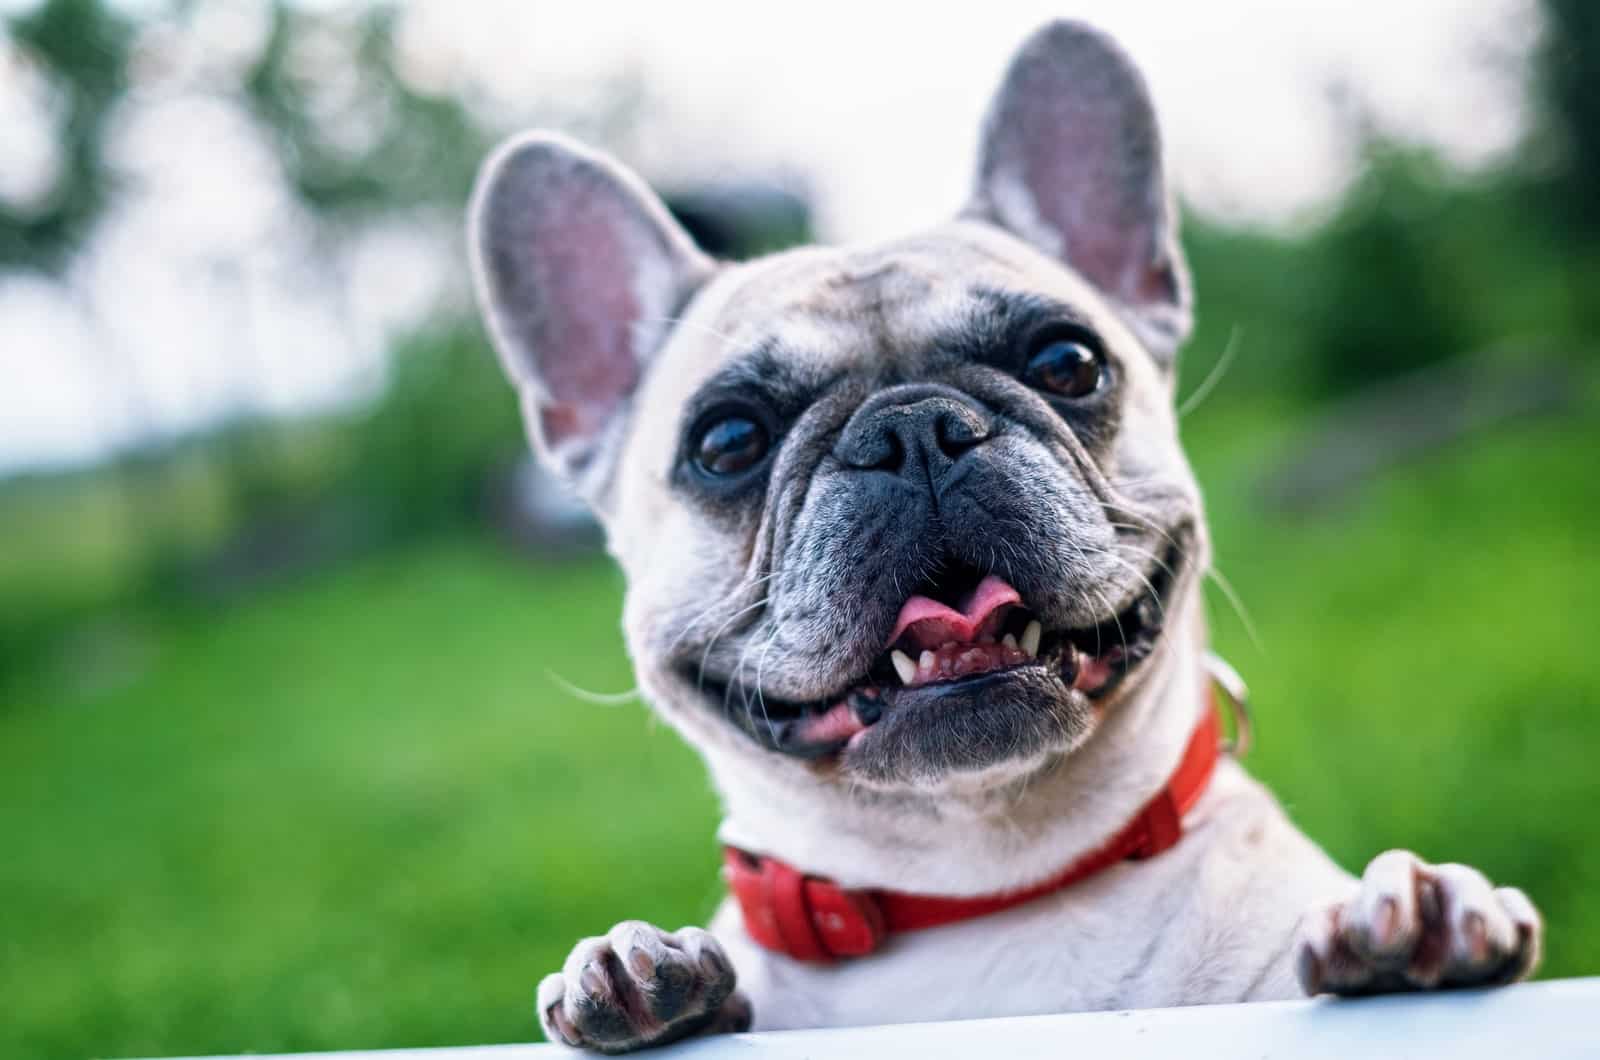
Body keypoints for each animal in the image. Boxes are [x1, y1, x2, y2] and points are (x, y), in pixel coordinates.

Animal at [467, 18, 1542, 1056]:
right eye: (727, 440)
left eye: (1067, 361)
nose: (911, 428)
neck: (984, 885)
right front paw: (641, 974)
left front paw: (1423, 922)